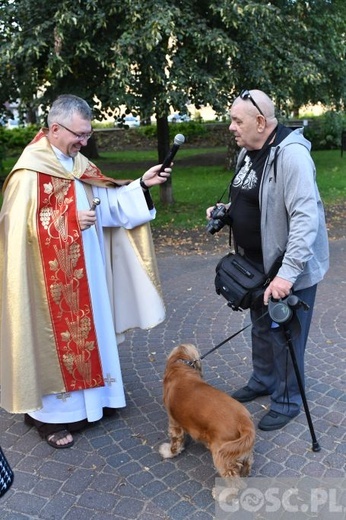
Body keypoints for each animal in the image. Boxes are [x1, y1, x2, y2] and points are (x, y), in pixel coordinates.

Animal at [159, 344, 254, 494]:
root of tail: (243, 420)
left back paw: (221, 494)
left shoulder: (174, 423)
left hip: (222, 455)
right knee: (247, 465)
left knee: (233, 480)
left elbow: (175, 442)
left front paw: (169, 452)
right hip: (240, 451)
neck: (181, 367)